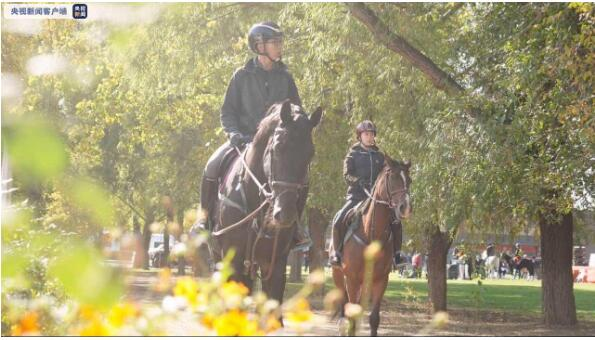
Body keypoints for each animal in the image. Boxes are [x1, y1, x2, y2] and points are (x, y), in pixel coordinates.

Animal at [332, 158, 412, 336]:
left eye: (409, 180)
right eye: (393, 178)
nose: (406, 208)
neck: (371, 234)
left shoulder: (380, 280)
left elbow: (374, 318)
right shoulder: (352, 279)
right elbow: (351, 317)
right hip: (339, 276)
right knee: (345, 307)